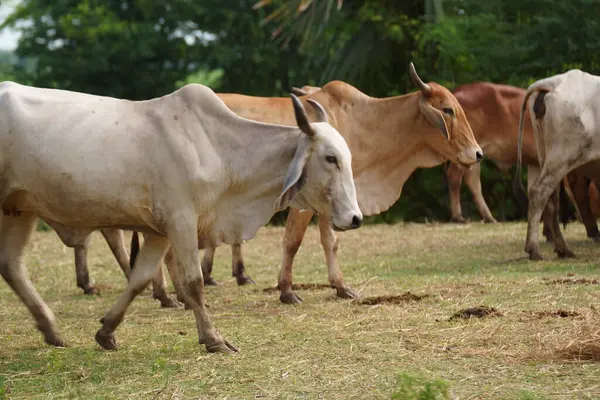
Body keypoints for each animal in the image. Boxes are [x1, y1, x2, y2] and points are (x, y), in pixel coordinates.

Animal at [0, 83, 360, 352]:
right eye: (331, 158)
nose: (355, 218)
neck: (216, 147)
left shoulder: (160, 231)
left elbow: (140, 278)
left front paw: (107, 330)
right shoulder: (182, 221)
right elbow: (194, 282)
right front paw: (213, 339)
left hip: (19, 209)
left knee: (11, 265)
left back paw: (50, 328)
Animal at [512, 69, 600, 260]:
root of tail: (553, 82)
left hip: (547, 156)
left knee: (551, 200)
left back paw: (562, 248)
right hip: (561, 157)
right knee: (540, 193)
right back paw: (534, 249)